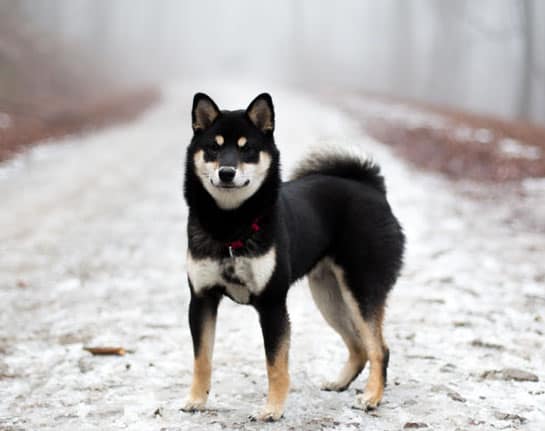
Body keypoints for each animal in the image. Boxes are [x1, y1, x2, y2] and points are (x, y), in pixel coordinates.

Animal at [181, 93, 402, 422]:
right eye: (214, 147)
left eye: (247, 149)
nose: (227, 172)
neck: (231, 225)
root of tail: (371, 189)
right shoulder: (202, 299)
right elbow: (201, 360)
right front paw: (196, 400)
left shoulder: (272, 304)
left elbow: (275, 365)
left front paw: (272, 409)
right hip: (329, 297)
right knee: (359, 347)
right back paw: (339, 383)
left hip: (361, 291)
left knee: (379, 349)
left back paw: (371, 397)